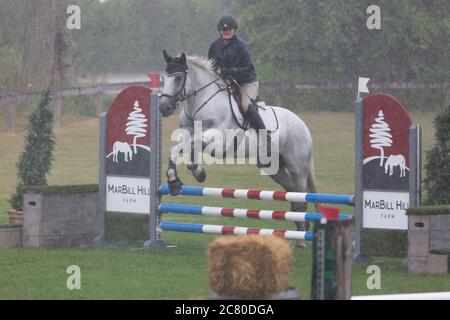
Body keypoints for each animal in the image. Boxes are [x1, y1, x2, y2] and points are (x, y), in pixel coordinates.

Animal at [160, 50, 318, 240]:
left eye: (178, 77)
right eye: (163, 77)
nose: (164, 108)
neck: (202, 104)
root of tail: (302, 124)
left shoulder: (219, 140)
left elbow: (194, 145)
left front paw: (197, 172)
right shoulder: (187, 132)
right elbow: (175, 148)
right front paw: (175, 181)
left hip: (298, 168)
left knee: (301, 195)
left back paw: (301, 235)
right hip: (274, 168)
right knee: (292, 194)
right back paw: (298, 230)